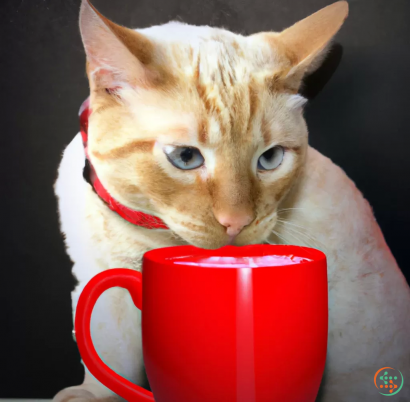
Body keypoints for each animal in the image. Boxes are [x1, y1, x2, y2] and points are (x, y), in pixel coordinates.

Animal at [53, 0, 410, 402]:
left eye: (270, 159)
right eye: (185, 157)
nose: (237, 223)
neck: (149, 229)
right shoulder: (99, 274)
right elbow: (108, 353)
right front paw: (94, 394)